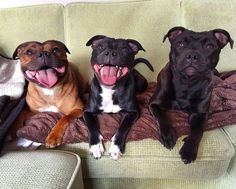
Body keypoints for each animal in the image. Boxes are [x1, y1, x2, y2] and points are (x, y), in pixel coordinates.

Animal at [149, 26, 232, 164]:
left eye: (210, 46)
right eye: (180, 44)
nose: (192, 55)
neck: (187, 82)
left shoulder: (201, 114)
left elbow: (197, 131)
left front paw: (189, 149)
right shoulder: (153, 104)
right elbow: (161, 117)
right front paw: (168, 135)